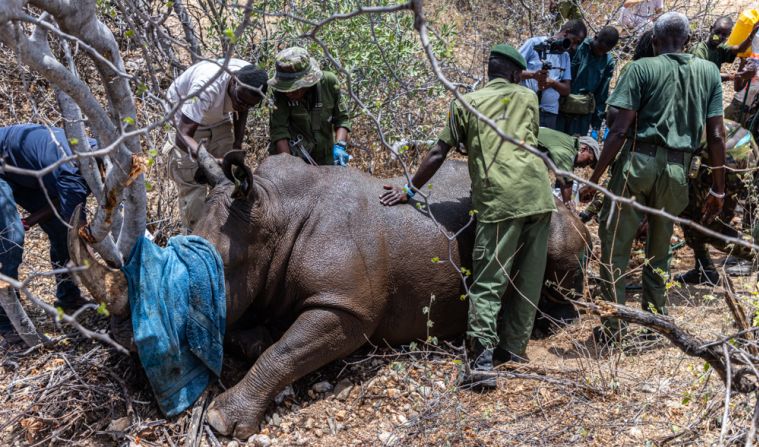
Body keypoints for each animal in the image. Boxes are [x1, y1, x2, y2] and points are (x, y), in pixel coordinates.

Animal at [68, 152, 592, 440]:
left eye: (189, 297)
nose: (125, 343)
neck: (271, 214)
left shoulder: (346, 306)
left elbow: (284, 353)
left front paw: (220, 420)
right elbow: (257, 336)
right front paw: (257, 339)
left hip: (553, 216)